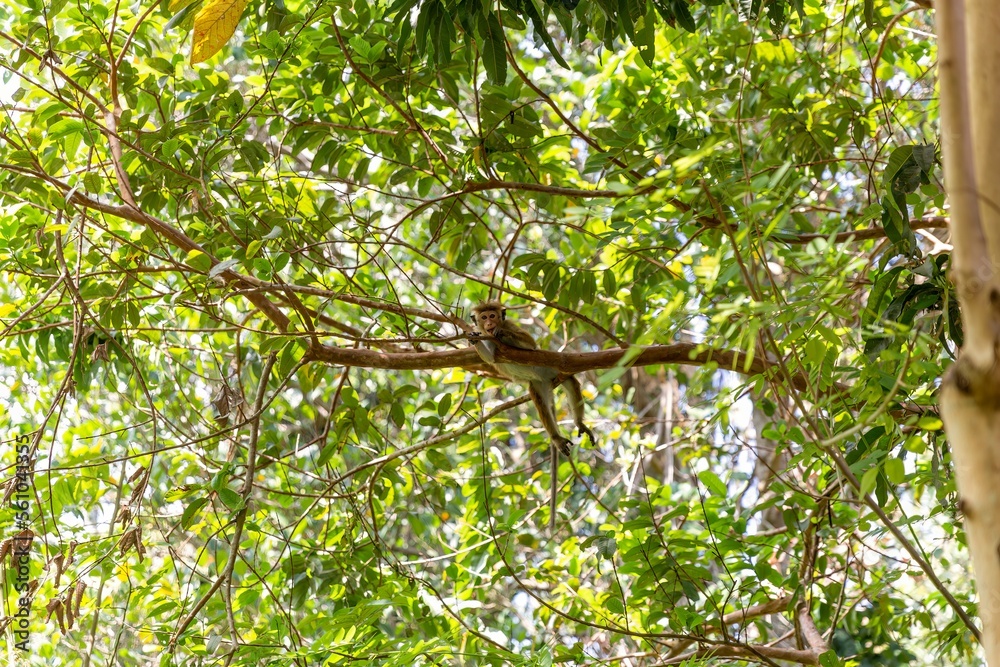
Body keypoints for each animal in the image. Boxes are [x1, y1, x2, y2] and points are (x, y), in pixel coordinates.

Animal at [468, 301, 595, 456]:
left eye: (492, 316)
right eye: (484, 317)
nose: (489, 323)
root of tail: (546, 379)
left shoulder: (509, 324)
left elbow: (530, 344)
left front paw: (502, 332)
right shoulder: (485, 336)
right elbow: (490, 358)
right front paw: (473, 339)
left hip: (553, 370)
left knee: (571, 383)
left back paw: (579, 423)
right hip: (537, 384)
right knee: (541, 403)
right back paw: (556, 437)